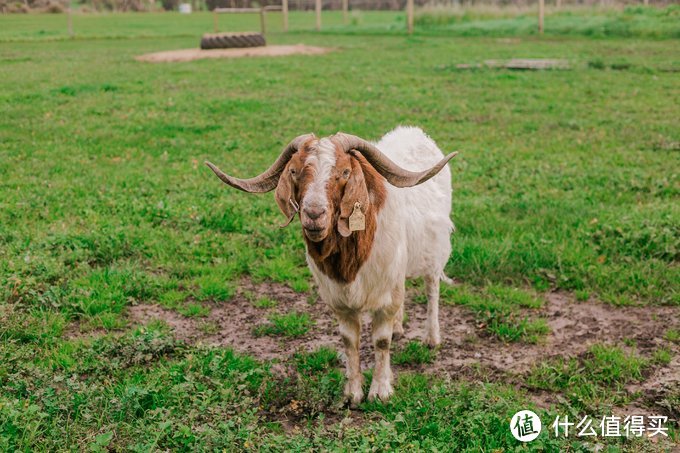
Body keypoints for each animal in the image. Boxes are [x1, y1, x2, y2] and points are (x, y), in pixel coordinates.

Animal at [206, 126, 456, 402]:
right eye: (294, 171)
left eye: (345, 172)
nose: (314, 214)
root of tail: (414, 132)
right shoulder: (339, 298)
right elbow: (349, 341)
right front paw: (352, 394)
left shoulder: (385, 290)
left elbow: (381, 341)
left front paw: (380, 391)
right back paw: (399, 328)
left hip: (434, 250)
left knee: (432, 289)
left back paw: (431, 337)